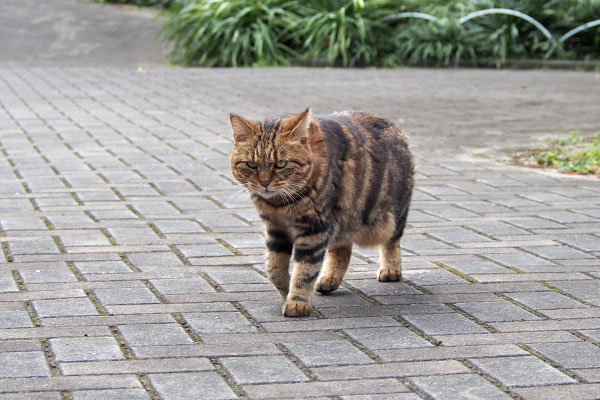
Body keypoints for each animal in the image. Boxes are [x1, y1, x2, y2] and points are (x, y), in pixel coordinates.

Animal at [229, 108, 412, 318]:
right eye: (251, 165)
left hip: (391, 216)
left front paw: (297, 302)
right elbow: (274, 268)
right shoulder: (276, 228)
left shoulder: (314, 228)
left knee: (391, 242)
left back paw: (390, 269)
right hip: (342, 221)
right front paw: (286, 290)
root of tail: (388, 123)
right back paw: (328, 279)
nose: (265, 182)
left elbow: (305, 270)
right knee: (342, 250)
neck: (278, 204)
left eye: (281, 163)